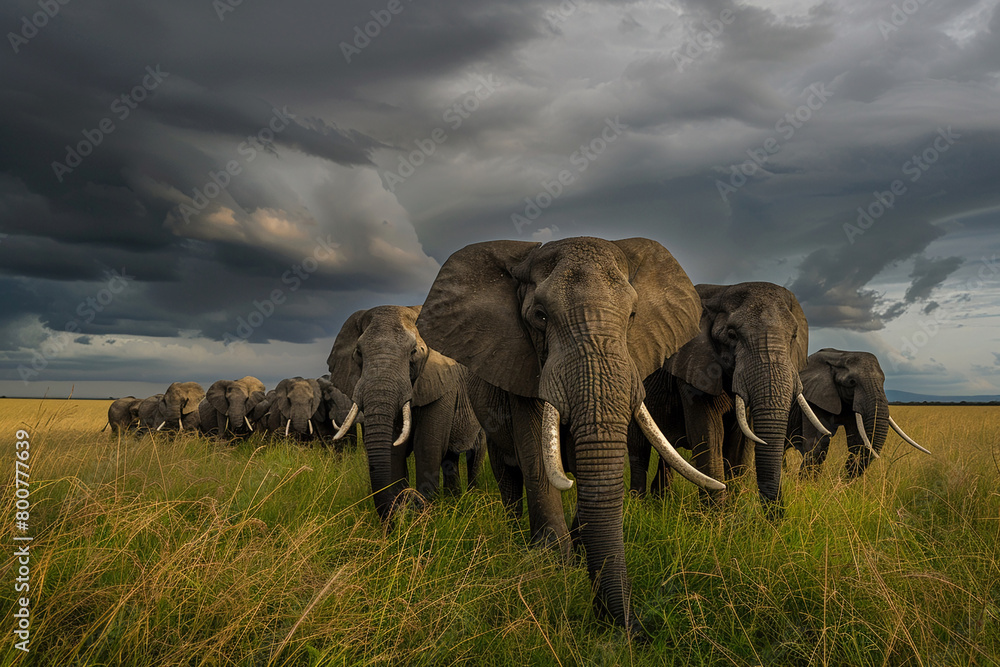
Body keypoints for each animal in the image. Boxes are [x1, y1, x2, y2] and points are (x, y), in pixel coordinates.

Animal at [327, 305, 485, 521]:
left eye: (413, 352)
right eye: (358, 353)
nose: (409, 501)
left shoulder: (442, 384)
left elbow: (427, 447)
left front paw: (424, 518)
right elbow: (395, 451)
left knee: (476, 454)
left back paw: (472, 498)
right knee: (451, 458)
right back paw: (454, 501)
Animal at [415, 237, 725, 633]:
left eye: (632, 316)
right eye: (540, 316)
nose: (635, 630)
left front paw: (577, 556)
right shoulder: (522, 360)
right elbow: (534, 450)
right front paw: (554, 561)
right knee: (506, 471)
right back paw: (518, 538)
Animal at [628, 282, 831, 507]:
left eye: (793, 337)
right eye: (732, 335)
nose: (777, 514)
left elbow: (739, 445)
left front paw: (732, 509)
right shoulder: (694, 367)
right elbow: (709, 434)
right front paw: (714, 514)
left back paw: (661, 500)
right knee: (638, 449)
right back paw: (638, 503)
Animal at [788, 348, 930, 477]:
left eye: (883, 381)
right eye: (852, 382)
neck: (840, 355)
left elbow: (856, 443)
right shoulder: (814, 398)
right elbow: (818, 443)